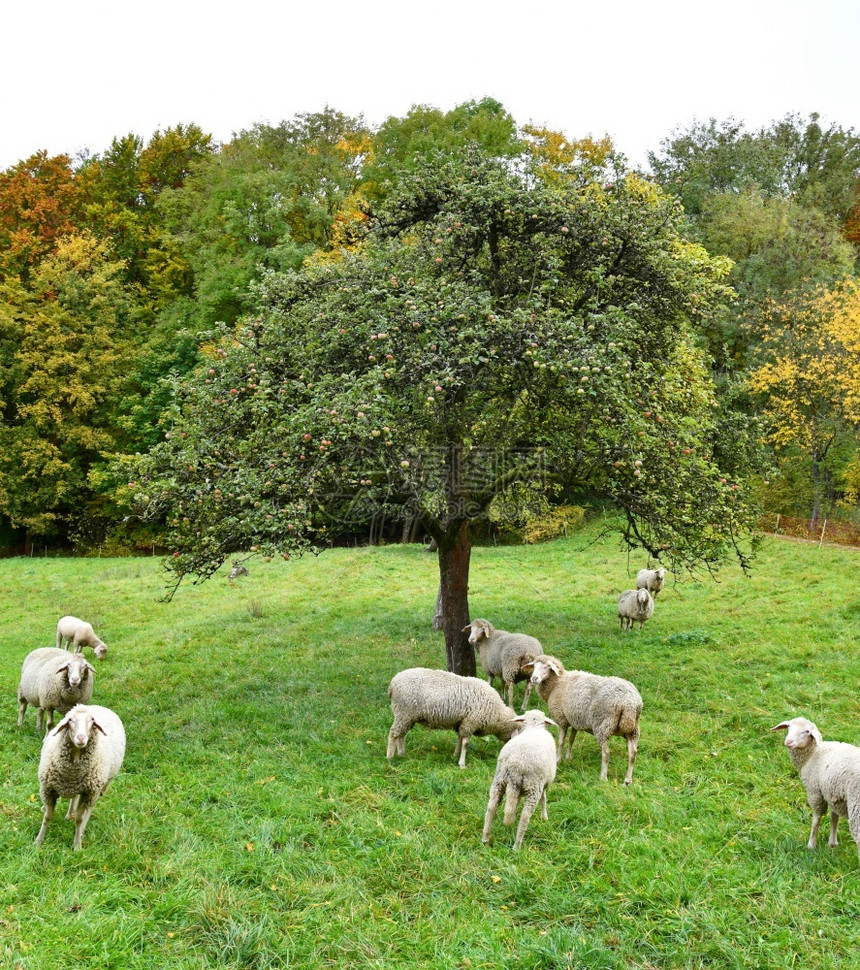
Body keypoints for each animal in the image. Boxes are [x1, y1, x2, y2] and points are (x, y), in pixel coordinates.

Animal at [34, 704, 125, 848]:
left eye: (92, 720)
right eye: (70, 720)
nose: (81, 738)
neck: (72, 772)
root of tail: (101, 706)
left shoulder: (89, 792)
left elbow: (79, 819)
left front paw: (77, 845)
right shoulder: (48, 789)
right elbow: (48, 817)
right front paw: (38, 841)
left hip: (97, 790)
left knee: (89, 809)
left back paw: (81, 830)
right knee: (75, 797)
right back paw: (69, 813)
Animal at [388, 660, 516, 768]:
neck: (497, 714)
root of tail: (392, 684)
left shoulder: (462, 723)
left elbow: (459, 739)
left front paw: (455, 755)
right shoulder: (470, 722)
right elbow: (465, 744)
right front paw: (462, 764)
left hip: (408, 717)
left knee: (401, 735)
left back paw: (401, 754)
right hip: (403, 712)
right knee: (394, 734)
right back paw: (390, 757)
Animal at [480, 704, 556, 848]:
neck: (534, 727)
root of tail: (516, 764)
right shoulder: (545, 783)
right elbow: (544, 798)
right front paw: (545, 817)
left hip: (499, 780)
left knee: (491, 807)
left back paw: (485, 839)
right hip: (533, 786)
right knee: (525, 816)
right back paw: (517, 846)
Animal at [520, 656, 640, 784]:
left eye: (547, 667)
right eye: (534, 666)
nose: (534, 678)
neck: (557, 683)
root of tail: (629, 703)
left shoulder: (561, 719)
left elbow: (561, 741)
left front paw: (558, 759)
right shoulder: (574, 720)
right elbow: (571, 739)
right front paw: (568, 757)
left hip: (603, 726)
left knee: (606, 753)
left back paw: (603, 777)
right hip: (633, 729)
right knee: (632, 753)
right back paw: (627, 780)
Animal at [776, 712, 860, 864]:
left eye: (806, 731)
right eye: (789, 727)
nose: (788, 742)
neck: (813, 754)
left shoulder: (815, 791)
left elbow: (816, 819)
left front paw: (811, 845)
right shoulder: (833, 794)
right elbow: (834, 818)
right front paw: (832, 843)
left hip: (856, 804)